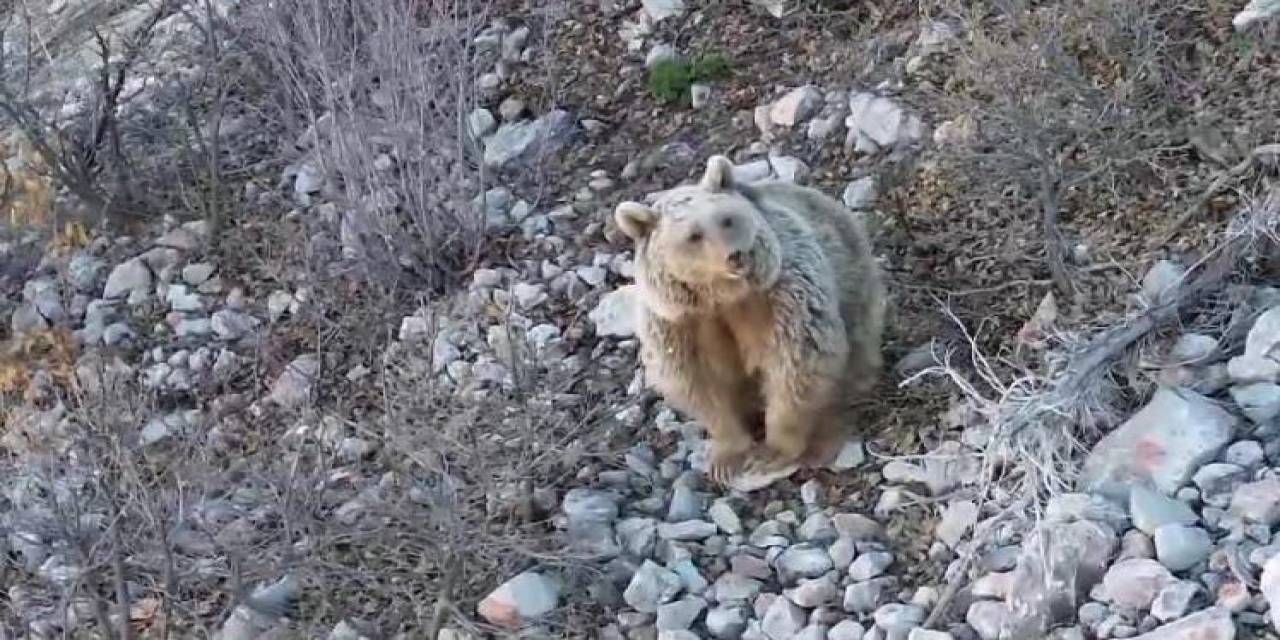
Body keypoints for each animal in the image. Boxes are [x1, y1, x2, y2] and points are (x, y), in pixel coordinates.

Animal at [614, 156, 885, 483]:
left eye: (727, 219)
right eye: (694, 235)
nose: (735, 256)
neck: (722, 296)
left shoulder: (782, 295)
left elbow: (796, 365)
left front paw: (771, 452)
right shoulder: (678, 324)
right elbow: (701, 384)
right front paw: (726, 458)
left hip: (858, 298)